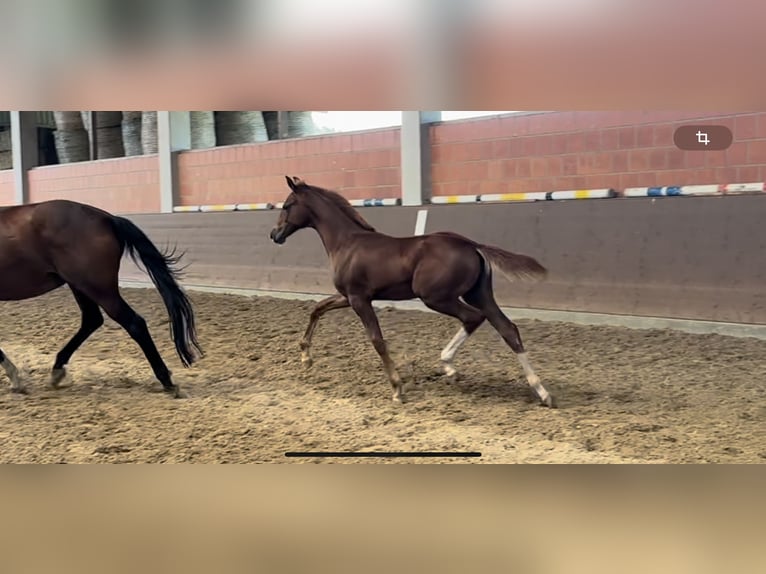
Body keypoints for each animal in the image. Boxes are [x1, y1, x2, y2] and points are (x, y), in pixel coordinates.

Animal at [0, 200, 202, 398]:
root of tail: (108, 218)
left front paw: (15, 379)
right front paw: (15, 378)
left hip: (97, 288)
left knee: (134, 323)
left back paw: (167, 381)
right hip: (80, 285)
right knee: (92, 319)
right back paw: (57, 370)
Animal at [270, 178, 560, 408]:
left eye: (287, 206)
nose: (274, 234)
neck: (347, 242)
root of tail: (471, 244)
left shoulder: (359, 299)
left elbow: (377, 340)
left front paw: (397, 389)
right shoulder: (347, 296)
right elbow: (317, 308)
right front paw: (306, 357)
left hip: (436, 297)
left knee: (474, 318)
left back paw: (449, 366)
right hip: (479, 294)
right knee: (508, 329)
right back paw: (542, 392)